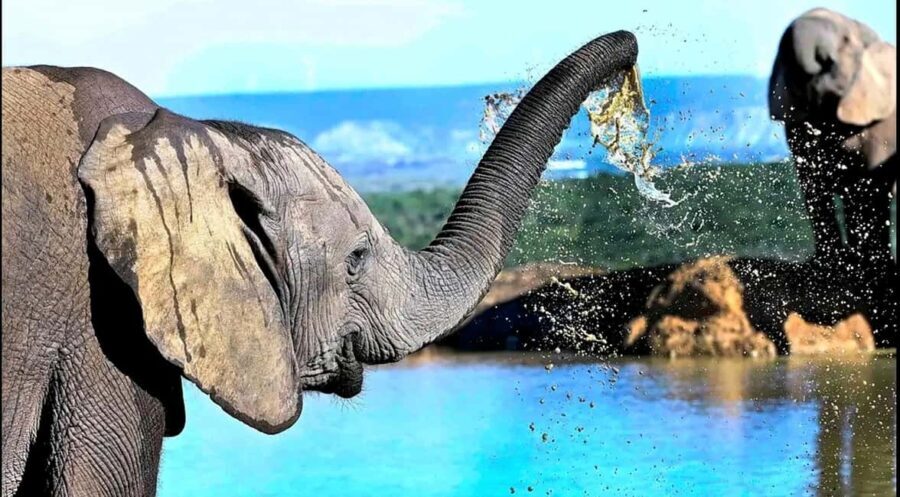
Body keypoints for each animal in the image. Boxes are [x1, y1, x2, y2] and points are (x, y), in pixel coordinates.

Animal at [768, 8, 896, 345]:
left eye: (847, 41)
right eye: (782, 55)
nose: (821, 59)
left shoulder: (882, 123)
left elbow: (866, 190)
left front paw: (867, 271)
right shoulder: (796, 126)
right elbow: (813, 185)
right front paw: (831, 267)